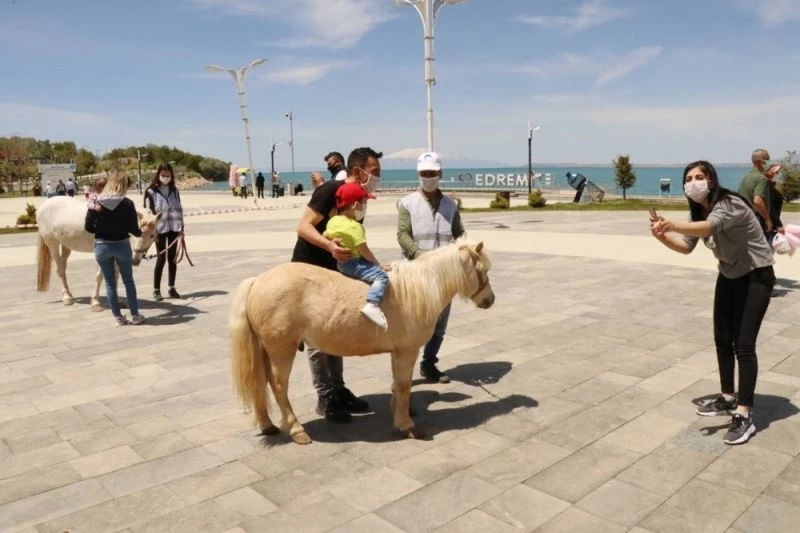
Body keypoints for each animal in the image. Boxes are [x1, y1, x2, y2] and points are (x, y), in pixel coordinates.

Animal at [229, 240, 495, 445]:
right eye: (483, 270)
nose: (490, 300)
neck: (417, 289)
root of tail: (257, 281)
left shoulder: (396, 351)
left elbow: (397, 384)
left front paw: (398, 411)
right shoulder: (408, 350)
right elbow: (404, 385)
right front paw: (407, 425)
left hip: (264, 349)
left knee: (259, 382)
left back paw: (267, 425)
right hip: (282, 350)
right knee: (278, 386)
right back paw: (296, 430)